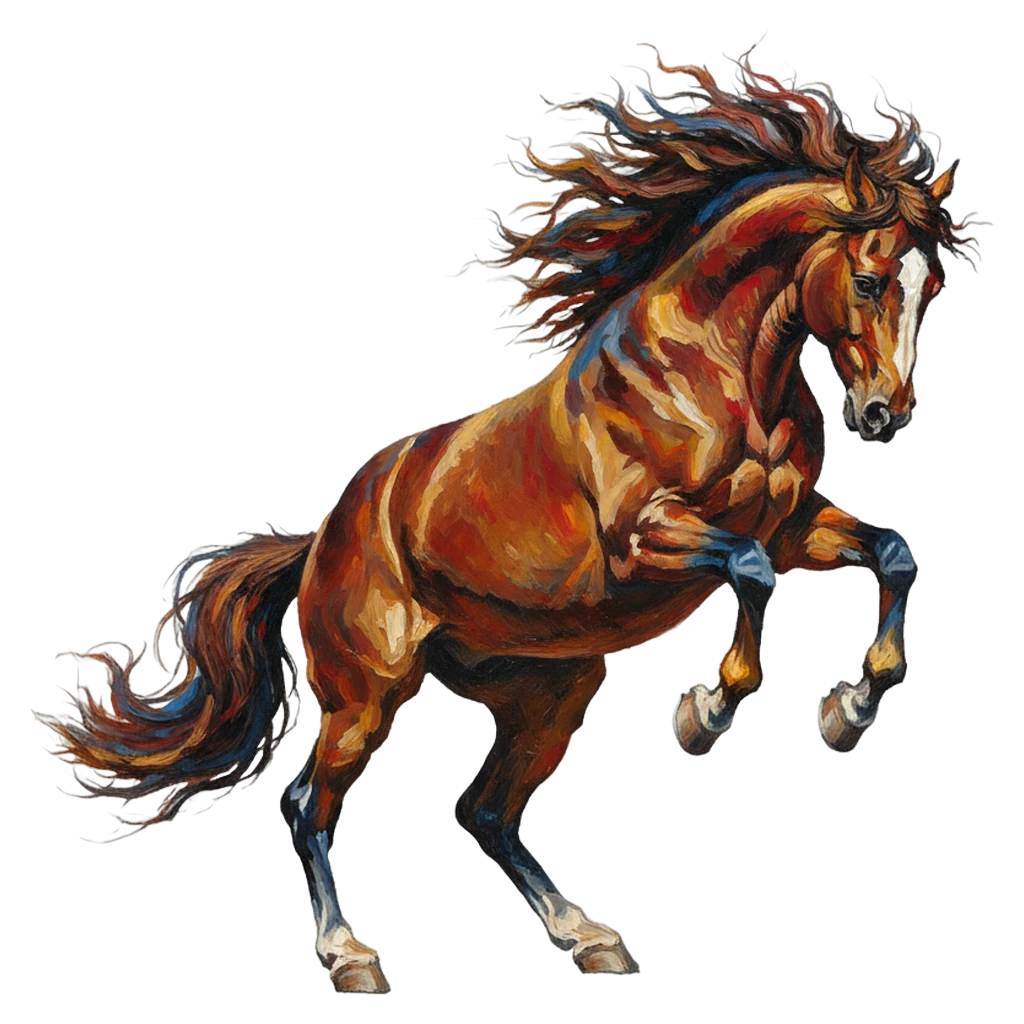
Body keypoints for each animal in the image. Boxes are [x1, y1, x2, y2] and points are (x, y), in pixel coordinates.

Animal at [37, 48, 982, 994]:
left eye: (931, 286)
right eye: (867, 279)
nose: (883, 414)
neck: (716, 366)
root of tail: (323, 539)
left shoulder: (798, 527)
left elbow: (892, 554)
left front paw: (848, 712)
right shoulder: (648, 539)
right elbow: (747, 569)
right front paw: (705, 714)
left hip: (548, 686)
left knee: (485, 809)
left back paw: (590, 936)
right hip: (367, 692)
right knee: (310, 802)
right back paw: (350, 956)